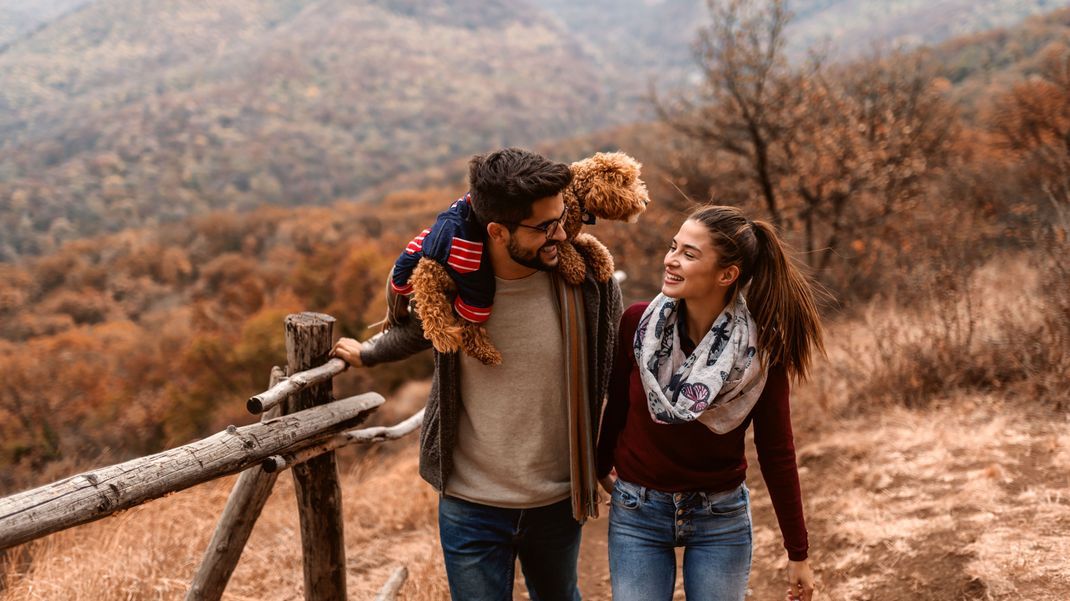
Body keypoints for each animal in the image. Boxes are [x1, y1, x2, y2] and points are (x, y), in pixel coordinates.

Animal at [389, 151, 646, 363]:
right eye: (625, 182)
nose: (644, 200)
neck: (574, 193)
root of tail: (427, 263)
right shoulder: (556, 234)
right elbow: (567, 249)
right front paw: (576, 268)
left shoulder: (569, 233)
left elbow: (589, 241)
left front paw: (602, 261)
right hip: (476, 283)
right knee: (468, 326)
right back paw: (486, 352)